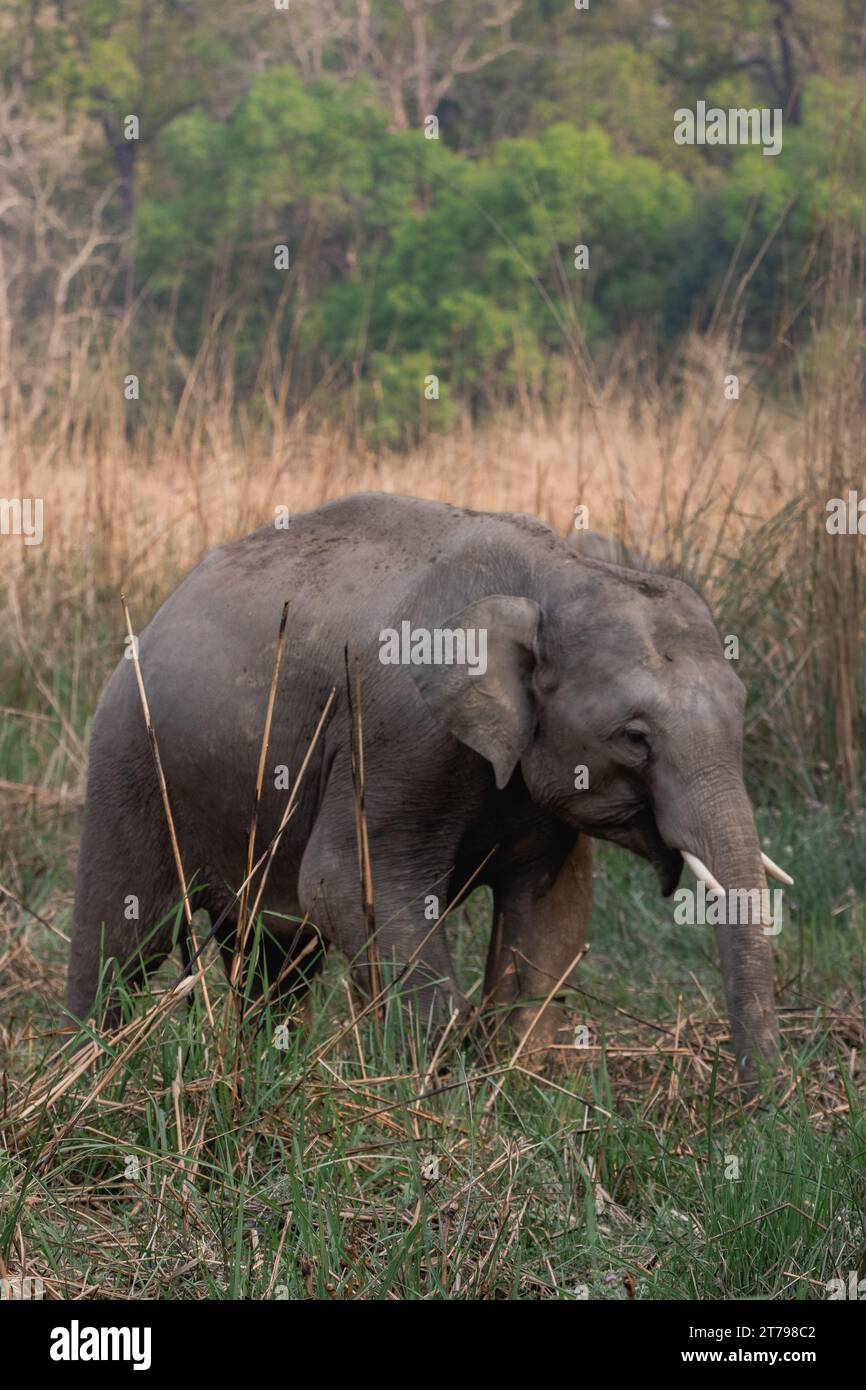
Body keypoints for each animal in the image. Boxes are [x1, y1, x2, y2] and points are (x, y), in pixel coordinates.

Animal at [65, 492, 787, 1081]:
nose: (756, 1112)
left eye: (741, 706)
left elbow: (551, 910)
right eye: (635, 737)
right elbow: (348, 884)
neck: (552, 571)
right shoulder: (397, 731)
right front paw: (440, 1083)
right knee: (121, 938)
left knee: (274, 953)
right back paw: (85, 1076)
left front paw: (509, 1082)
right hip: (129, 763)